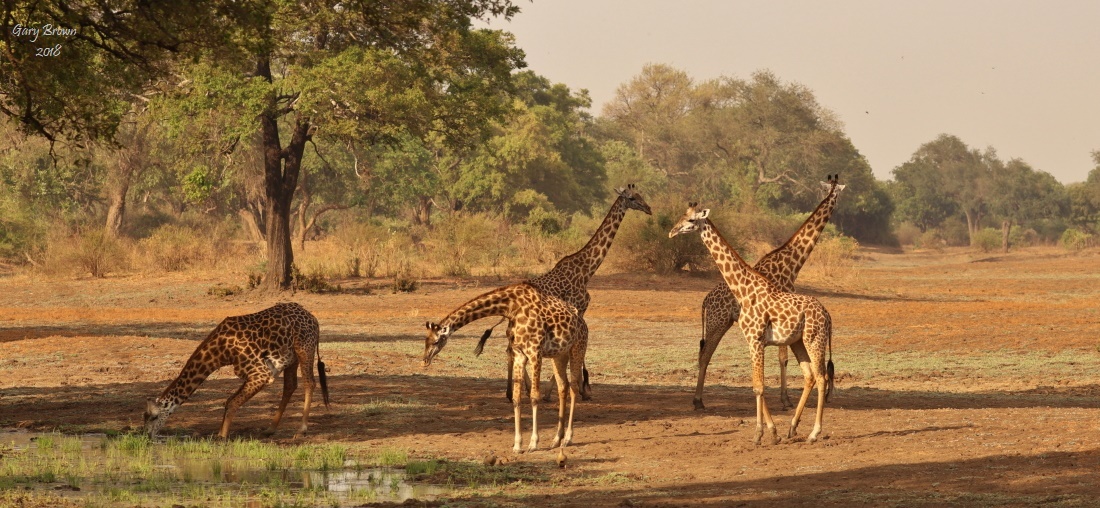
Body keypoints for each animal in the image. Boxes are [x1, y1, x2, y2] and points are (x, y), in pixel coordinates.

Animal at [144, 301, 327, 439]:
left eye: (154, 417)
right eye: (144, 417)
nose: (147, 436)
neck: (221, 352)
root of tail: (314, 318)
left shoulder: (261, 373)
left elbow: (232, 402)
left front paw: (222, 437)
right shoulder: (250, 374)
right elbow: (228, 401)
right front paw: (219, 433)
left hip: (305, 347)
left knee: (309, 383)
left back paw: (301, 430)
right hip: (291, 358)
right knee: (290, 386)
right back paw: (270, 429)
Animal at [424, 283, 589, 461]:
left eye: (436, 341)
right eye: (425, 340)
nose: (425, 360)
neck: (511, 308)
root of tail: (583, 322)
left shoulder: (535, 352)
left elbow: (534, 396)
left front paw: (533, 444)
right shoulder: (519, 354)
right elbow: (517, 398)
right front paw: (517, 445)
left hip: (577, 349)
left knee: (573, 387)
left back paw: (568, 438)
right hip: (558, 355)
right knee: (563, 387)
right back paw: (556, 439)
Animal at [475, 182, 646, 400]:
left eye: (641, 195)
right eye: (632, 198)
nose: (649, 208)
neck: (587, 269)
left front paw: (577, 388)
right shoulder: (578, 307)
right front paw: (578, 389)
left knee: (510, 350)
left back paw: (514, 391)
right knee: (512, 350)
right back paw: (523, 390)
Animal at [664, 204, 836, 446]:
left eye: (690, 220)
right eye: (681, 215)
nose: (672, 232)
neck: (743, 290)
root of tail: (827, 315)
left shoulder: (755, 339)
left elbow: (758, 387)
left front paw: (759, 434)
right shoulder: (752, 341)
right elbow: (757, 386)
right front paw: (772, 432)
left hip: (815, 340)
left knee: (821, 378)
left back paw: (814, 433)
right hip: (798, 342)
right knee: (810, 375)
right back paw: (792, 428)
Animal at [690, 173, 844, 409]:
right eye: (837, 193)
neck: (792, 263)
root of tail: (705, 300)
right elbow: (783, 358)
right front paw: (785, 399)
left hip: (720, 322)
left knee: (703, 354)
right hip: (718, 321)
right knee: (705, 354)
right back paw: (698, 400)